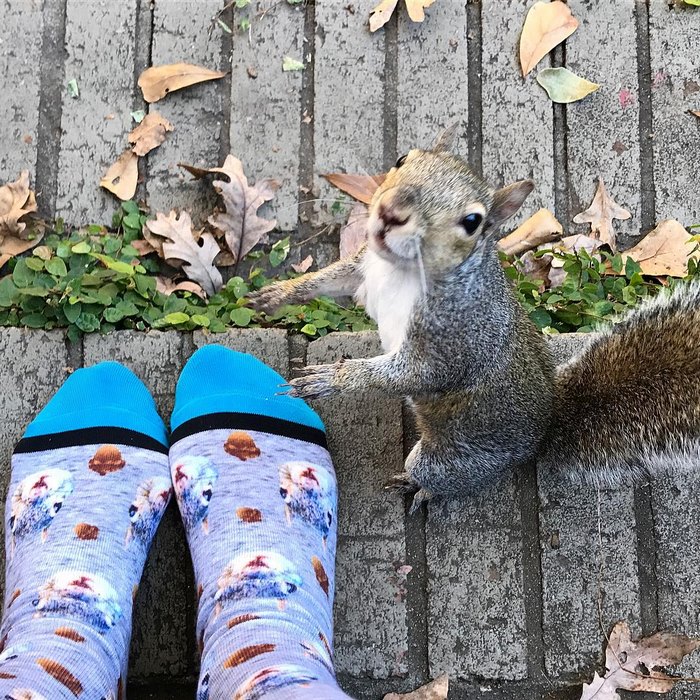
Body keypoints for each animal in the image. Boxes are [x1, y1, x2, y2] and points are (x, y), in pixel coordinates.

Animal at [249, 129, 700, 512]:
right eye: (402, 159)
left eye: (472, 222)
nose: (391, 213)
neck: (402, 273)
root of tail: (545, 428)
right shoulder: (365, 271)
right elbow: (328, 280)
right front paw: (277, 294)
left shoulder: (455, 342)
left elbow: (414, 374)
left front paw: (332, 379)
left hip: (448, 459)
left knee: (442, 477)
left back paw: (420, 488)